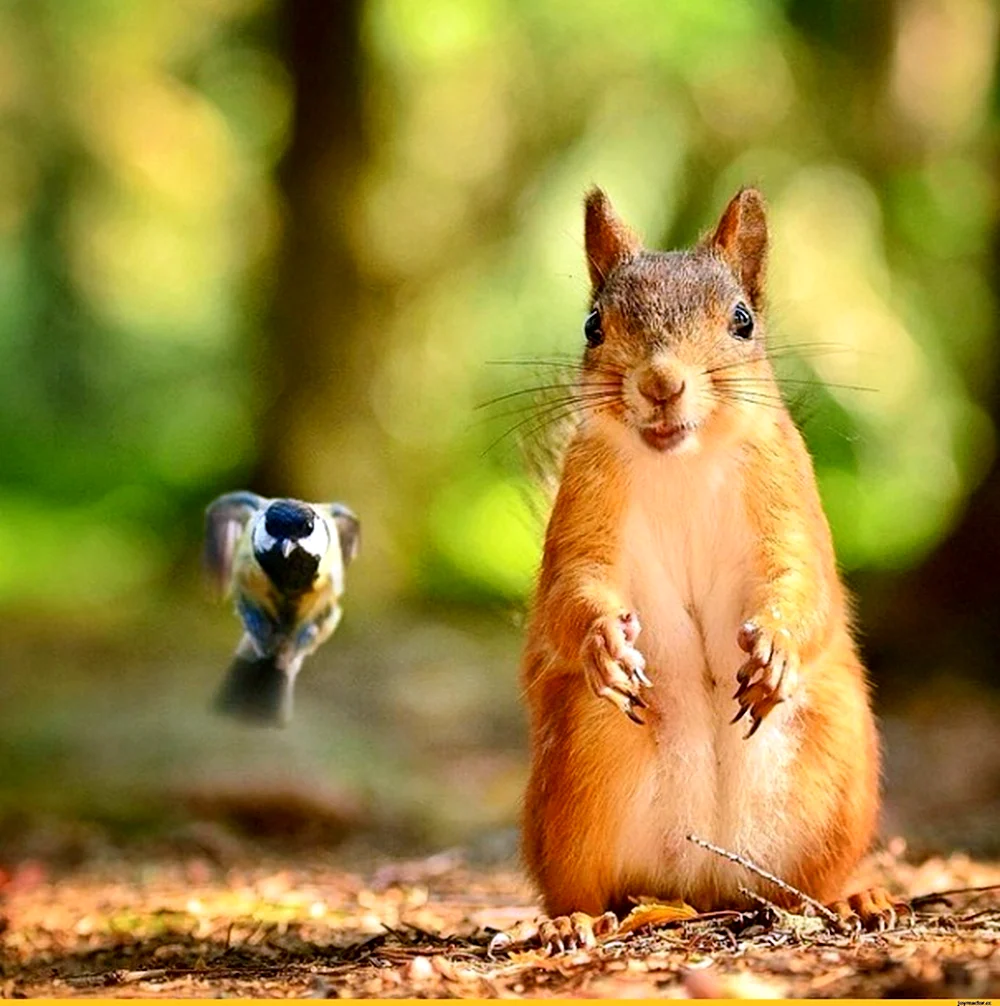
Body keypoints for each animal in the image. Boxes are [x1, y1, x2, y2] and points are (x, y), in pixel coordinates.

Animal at [511, 187, 885, 949]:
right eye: (594, 324)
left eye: (742, 321)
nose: (660, 382)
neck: (681, 461)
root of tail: (702, 884)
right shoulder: (583, 508)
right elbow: (571, 587)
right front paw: (602, 642)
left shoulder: (785, 493)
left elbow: (801, 580)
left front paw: (775, 648)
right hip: (580, 765)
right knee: (583, 887)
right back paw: (571, 921)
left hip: (836, 772)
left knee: (809, 888)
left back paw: (852, 901)